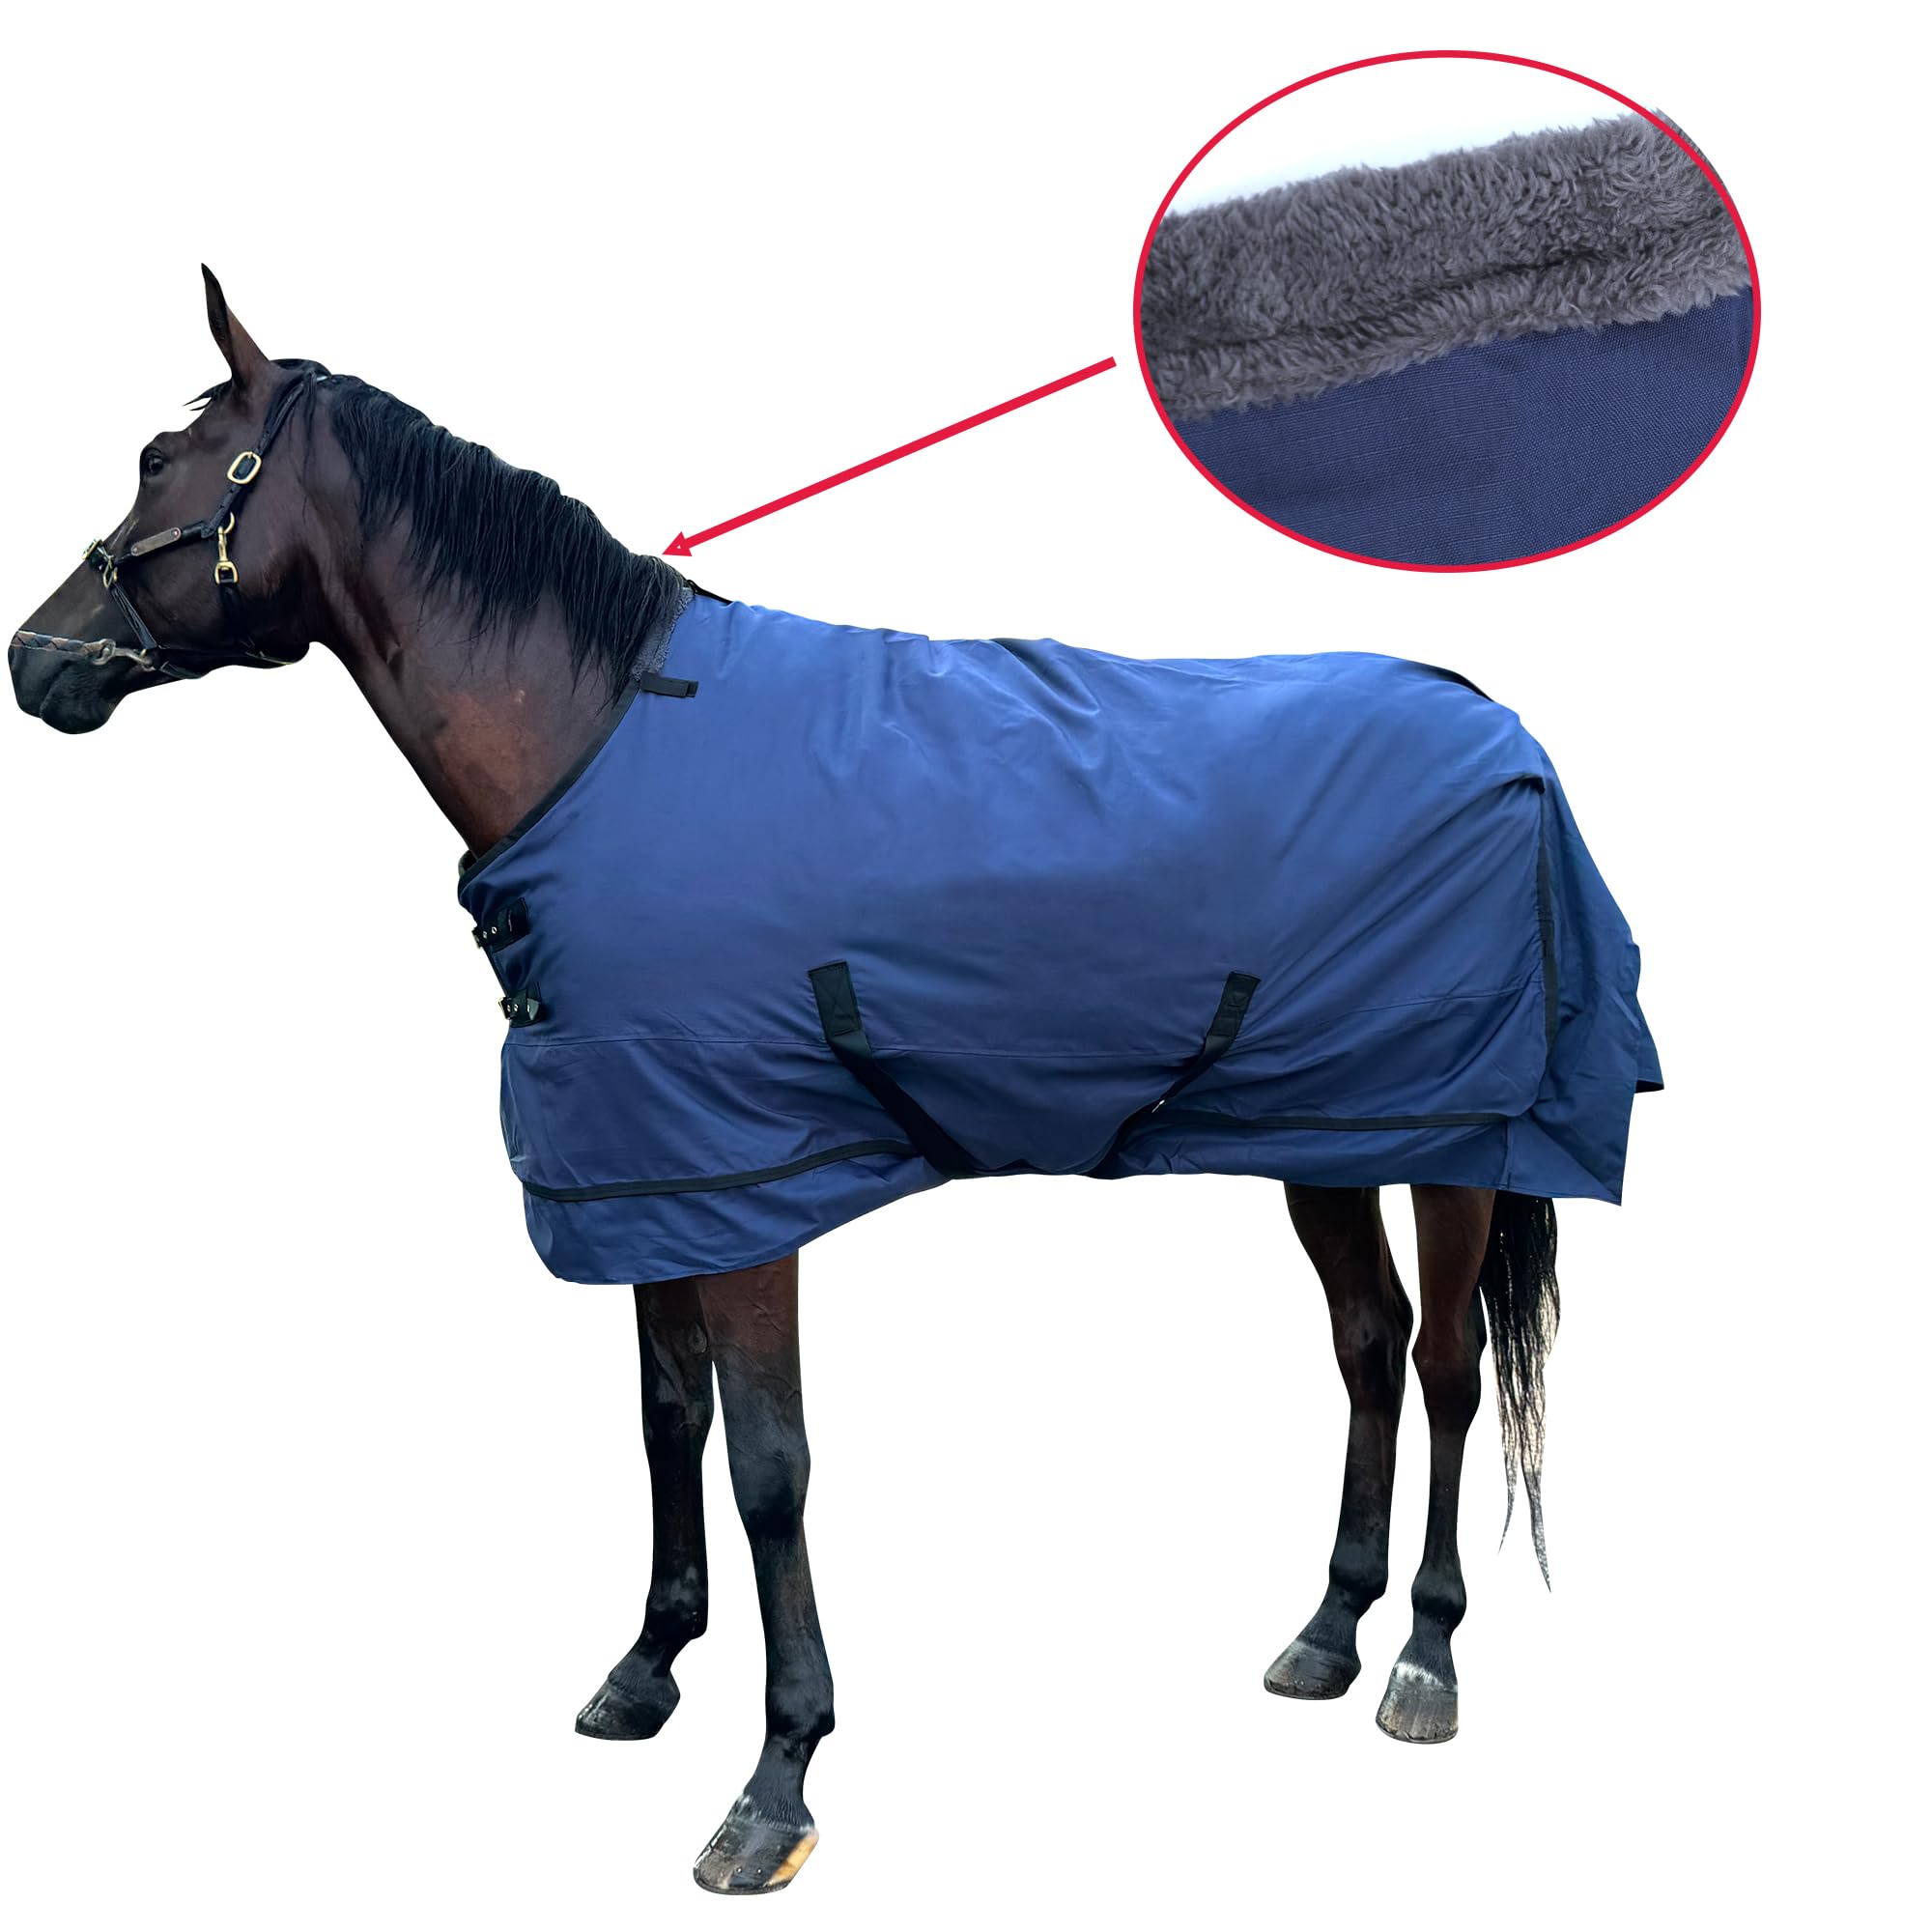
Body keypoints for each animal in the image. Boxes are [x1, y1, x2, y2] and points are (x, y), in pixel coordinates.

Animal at [10, 271, 1655, 1896]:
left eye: (159, 462)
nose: (36, 661)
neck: (599, 743)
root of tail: (1496, 723)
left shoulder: (750, 1185)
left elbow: (769, 1471)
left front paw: (776, 1780)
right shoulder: (650, 1178)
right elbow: (666, 1422)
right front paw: (647, 1669)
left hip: (1459, 1136)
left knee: (1444, 1364)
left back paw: (1424, 1659)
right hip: (1324, 1131)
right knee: (1367, 1347)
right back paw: (1326, 1634)